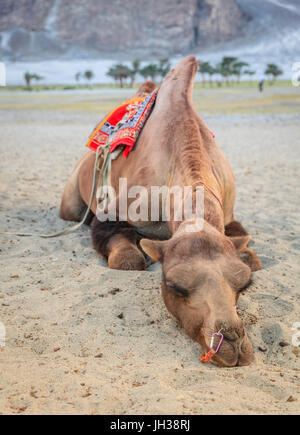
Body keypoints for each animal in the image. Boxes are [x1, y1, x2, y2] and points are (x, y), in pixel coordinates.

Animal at [59, 56, 262, 366]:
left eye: (244, 285)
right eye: (174, 285)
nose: (232, 345)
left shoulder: (227, 216)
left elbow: (251, 256)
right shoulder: (117, 209)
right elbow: (128, 258)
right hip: (71, 200)